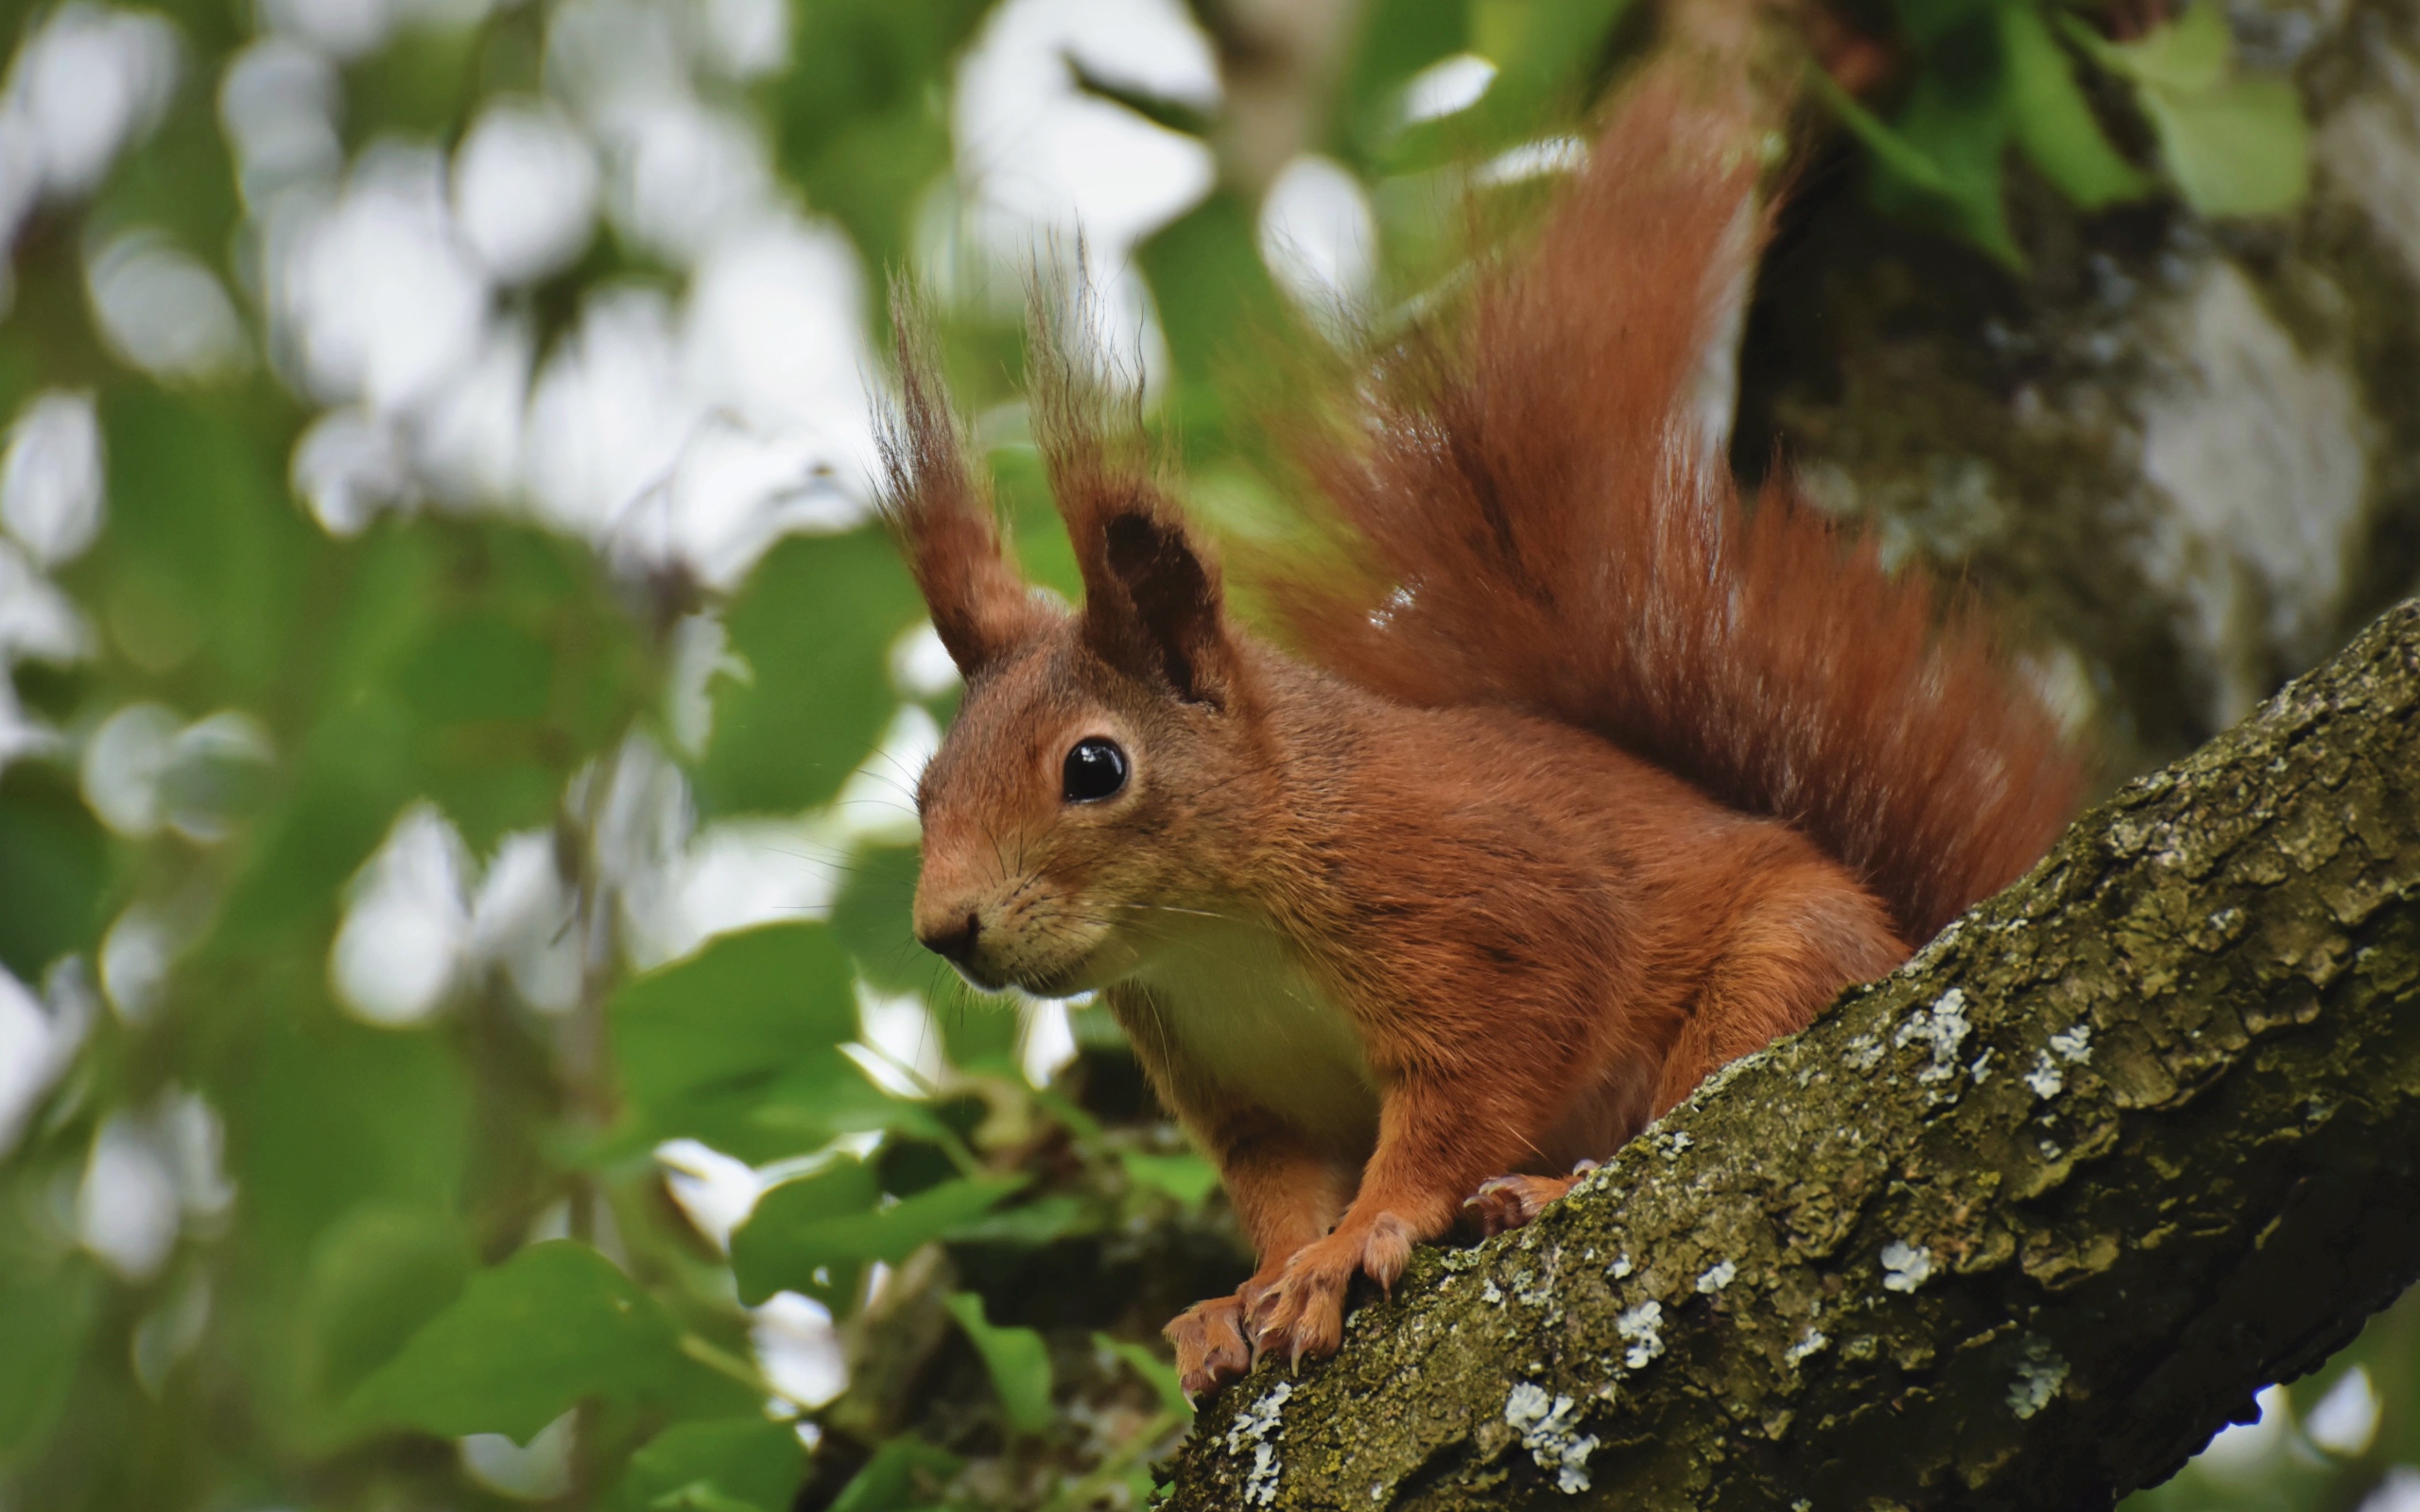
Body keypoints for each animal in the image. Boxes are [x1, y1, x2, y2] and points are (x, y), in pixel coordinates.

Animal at [875, 64, 2081, 1393]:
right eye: (926, 787)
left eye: (1093, 766)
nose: (943, 929)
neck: (1215, 932)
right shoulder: (1237, 1083)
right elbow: (1276, 1189)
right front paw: (1241, 1294)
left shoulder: (1485, 918)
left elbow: (1462, 1106)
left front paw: (1354, 1244)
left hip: (1786, 963)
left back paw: (1550, 1186)